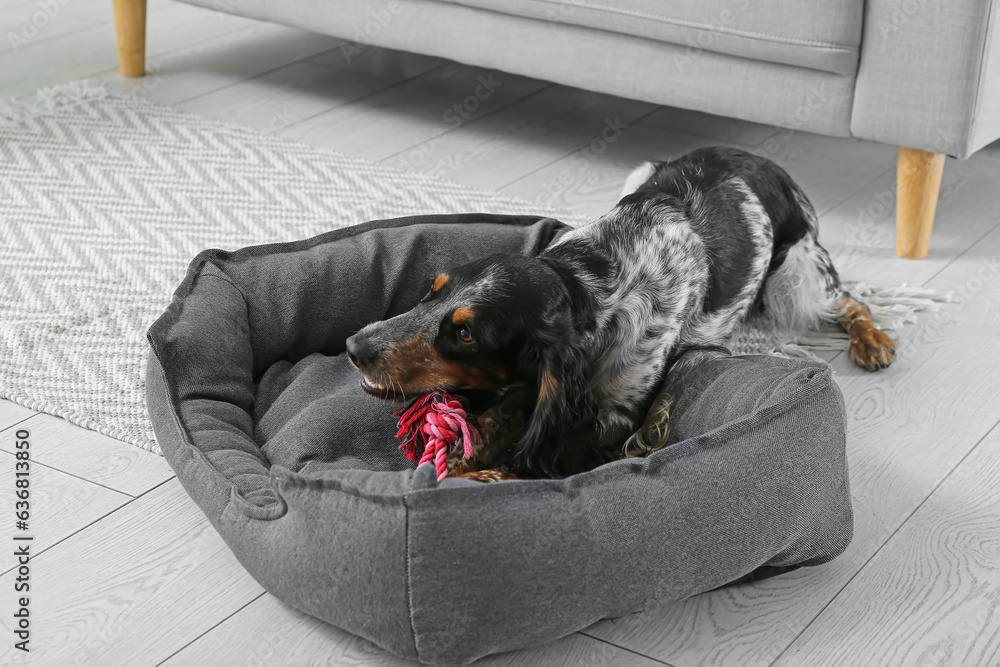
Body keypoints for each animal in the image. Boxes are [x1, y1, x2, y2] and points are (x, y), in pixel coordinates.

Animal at [346, 146, 900, 480]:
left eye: (466, 335)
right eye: (429, 293)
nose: (353, 346)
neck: (589, 283)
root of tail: (770, 163)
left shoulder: (613, 415)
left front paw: (481, 467)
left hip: (797, 278)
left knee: (850, 299)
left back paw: (873, 342)